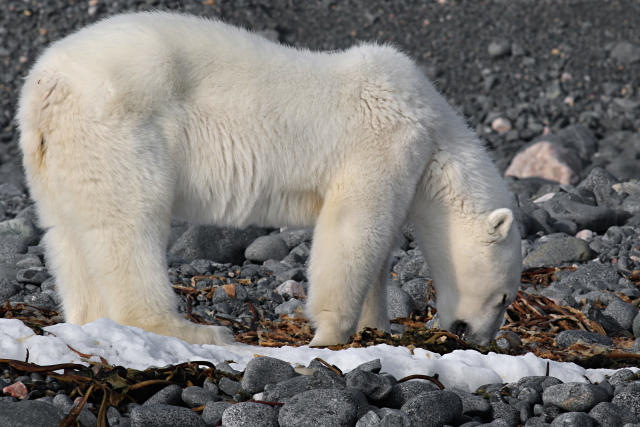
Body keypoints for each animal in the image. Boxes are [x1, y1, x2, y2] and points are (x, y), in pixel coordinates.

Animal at [17, 11, 524, 348]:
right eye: (504, 298)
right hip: (120, 126)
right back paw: (197, 330)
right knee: (130, 223)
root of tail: (48, 83)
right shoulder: (384, 142)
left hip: (55, 150)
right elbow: (355, 228)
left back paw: (89, 320)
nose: (477, 338)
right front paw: (330, 335)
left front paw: (376, 326)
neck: (433, 125)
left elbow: (380, 250)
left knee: (66, 232)